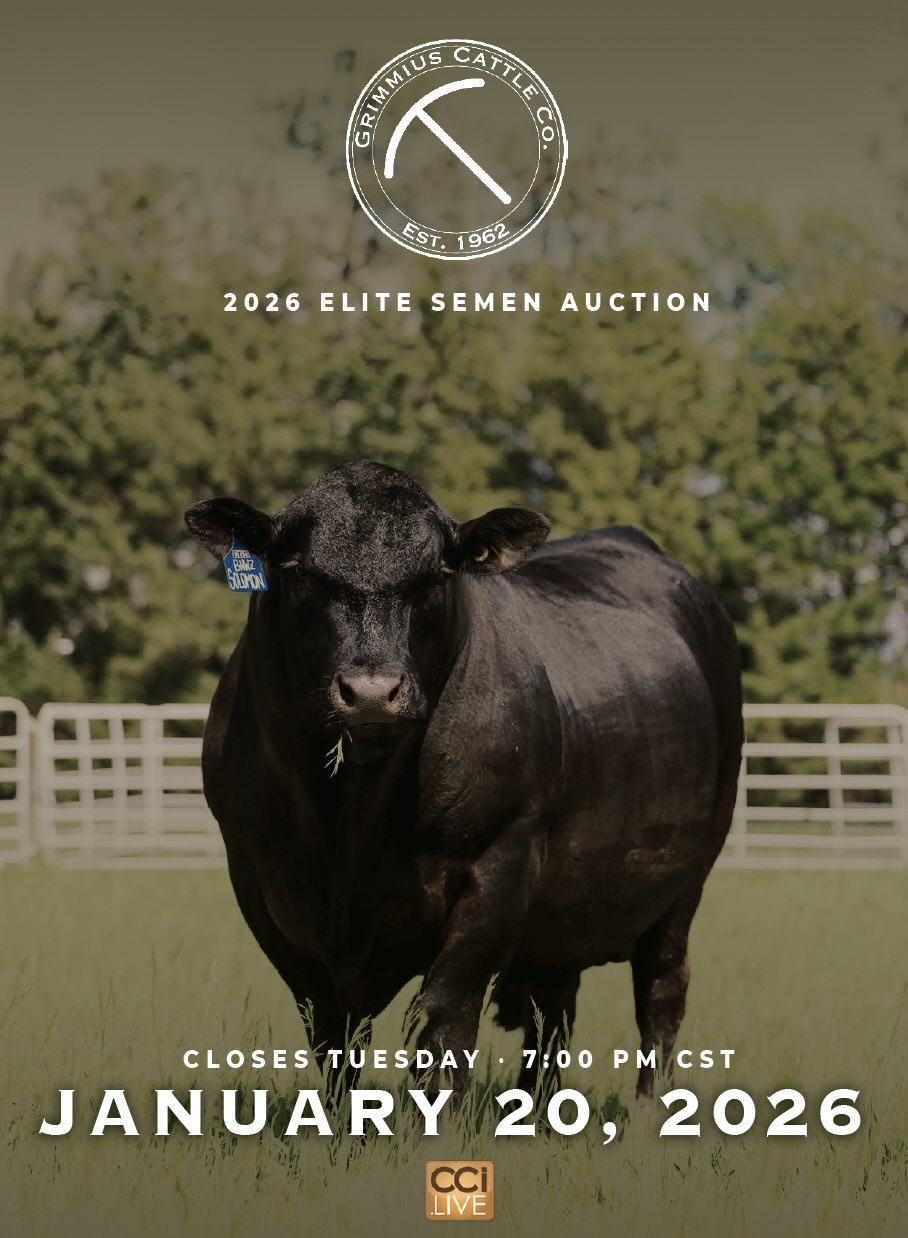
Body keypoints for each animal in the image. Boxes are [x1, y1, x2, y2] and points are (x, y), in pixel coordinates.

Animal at [185, 460, 742, 1099]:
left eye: (439, 573)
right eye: (299, 571)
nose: (372, 691)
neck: (353, 812)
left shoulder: (500, 862)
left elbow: (444, 1022)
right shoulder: (260, 881)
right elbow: (332, 1036)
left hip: (686, 879)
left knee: (660, 992)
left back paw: (651, 1109)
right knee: (553, 1010)